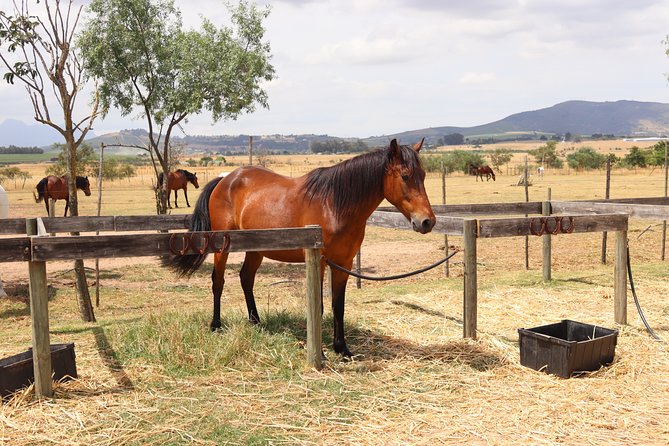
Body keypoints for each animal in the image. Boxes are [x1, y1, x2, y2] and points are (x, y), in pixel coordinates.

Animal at [163, 138, 436, 357]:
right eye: (405, 176)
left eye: (423, 175)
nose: (427, 222)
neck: (334, 204)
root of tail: (225, 179)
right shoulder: (321, 261)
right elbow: (321, 305)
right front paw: (323, 349)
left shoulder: (344, 263)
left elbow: (338, 305)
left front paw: (342, 349)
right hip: (223, 247)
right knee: (218, 281)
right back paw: (216, 325)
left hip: (256, 249)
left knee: (246, 278)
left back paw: (256, 322)